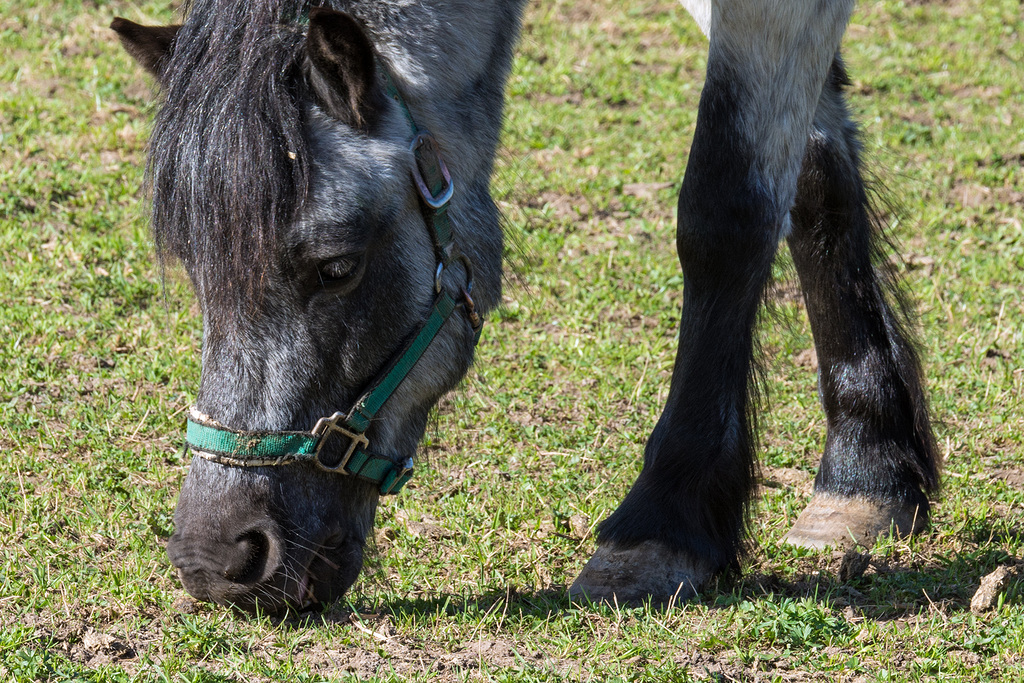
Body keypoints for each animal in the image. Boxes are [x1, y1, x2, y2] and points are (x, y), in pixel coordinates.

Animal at [112, 0, 937, 614]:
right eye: (198, 272)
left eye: (336, 266)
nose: (218, 557)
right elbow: (813, 164)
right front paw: (869, 466)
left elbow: (727, 203)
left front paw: (664, 523)